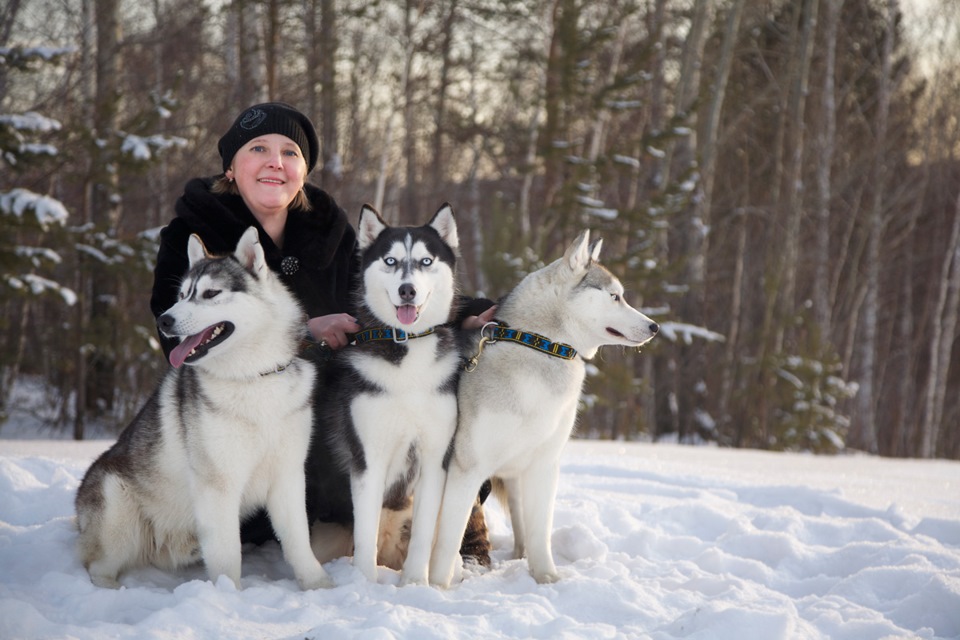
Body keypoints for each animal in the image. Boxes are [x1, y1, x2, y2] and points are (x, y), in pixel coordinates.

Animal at [74, 229, 330, 592]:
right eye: (182, 295)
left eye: (210, 293)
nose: (165, 319)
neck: (254, 376)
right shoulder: (218, 486)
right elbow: (227, 554)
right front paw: (227, 595)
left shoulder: (287, 475)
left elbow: (298, 540)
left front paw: (318, 584)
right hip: (118, 516)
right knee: (98, 566)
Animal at [316, 202, 462, 584]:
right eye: (391, 260)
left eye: (426, 261)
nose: (407, 290)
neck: (406, 349)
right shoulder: (368, 458)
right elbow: (364, 532)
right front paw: (364, 585)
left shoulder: (434, 460)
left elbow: (423, 534)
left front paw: (415, 584)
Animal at [430, 230, 660, 584]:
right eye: (615, 296)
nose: (654, 327)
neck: (542, 345)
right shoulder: (467, 466)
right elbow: (447, 538)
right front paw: (436, 587)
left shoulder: (543, 464)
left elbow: (540, 531)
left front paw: (546, 577)